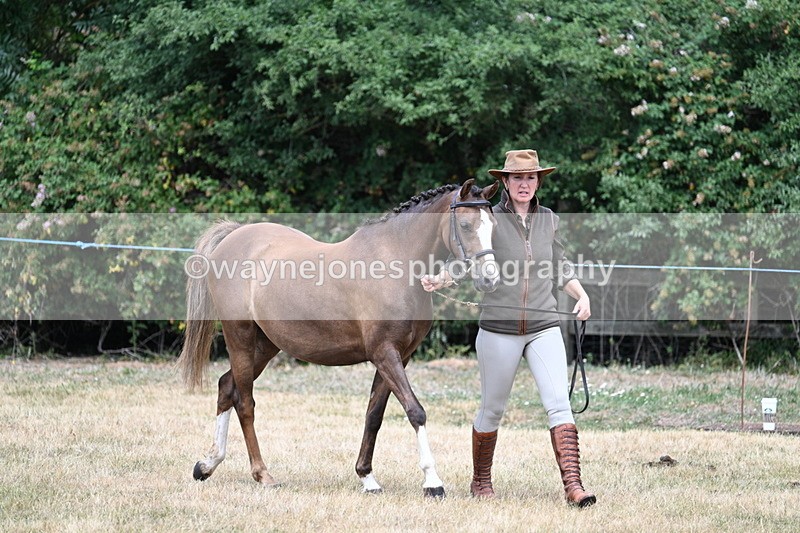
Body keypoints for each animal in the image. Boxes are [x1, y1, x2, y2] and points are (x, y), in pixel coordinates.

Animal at [177, 178, 500, 497]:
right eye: (466, 225)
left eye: (493, 225)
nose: (490, 279)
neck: (395, 263)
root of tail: (234, 236)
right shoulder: (385, 353)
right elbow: (415, 411)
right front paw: (432, 482)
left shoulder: (399, 357)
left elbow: (374, 415)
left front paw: (367, 478)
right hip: (240, 336)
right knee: (244, 403)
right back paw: (262, 474)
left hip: (265, 344)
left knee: (226, 387)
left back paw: (207, 464)